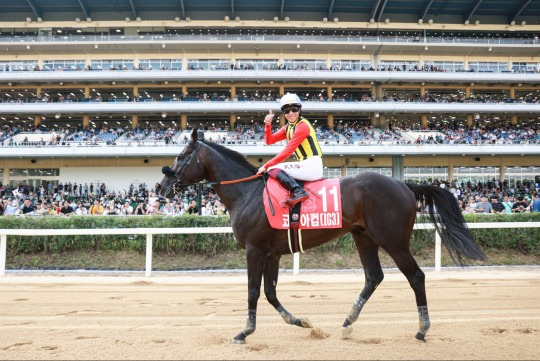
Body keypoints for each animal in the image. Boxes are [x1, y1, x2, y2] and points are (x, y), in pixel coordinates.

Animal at [158, 129, 488, 344]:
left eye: (182, 156)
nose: (162, 187)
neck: (247, 193)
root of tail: (405, 185)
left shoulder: (255, 249)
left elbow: (253, 291)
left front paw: (244, 332)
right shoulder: (272, 252)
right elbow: (270, 292)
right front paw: (300, 321)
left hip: (393, 241)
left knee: (416, 276)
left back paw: (422, 329)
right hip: (363, 236)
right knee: (374, 276)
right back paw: (348, 322)